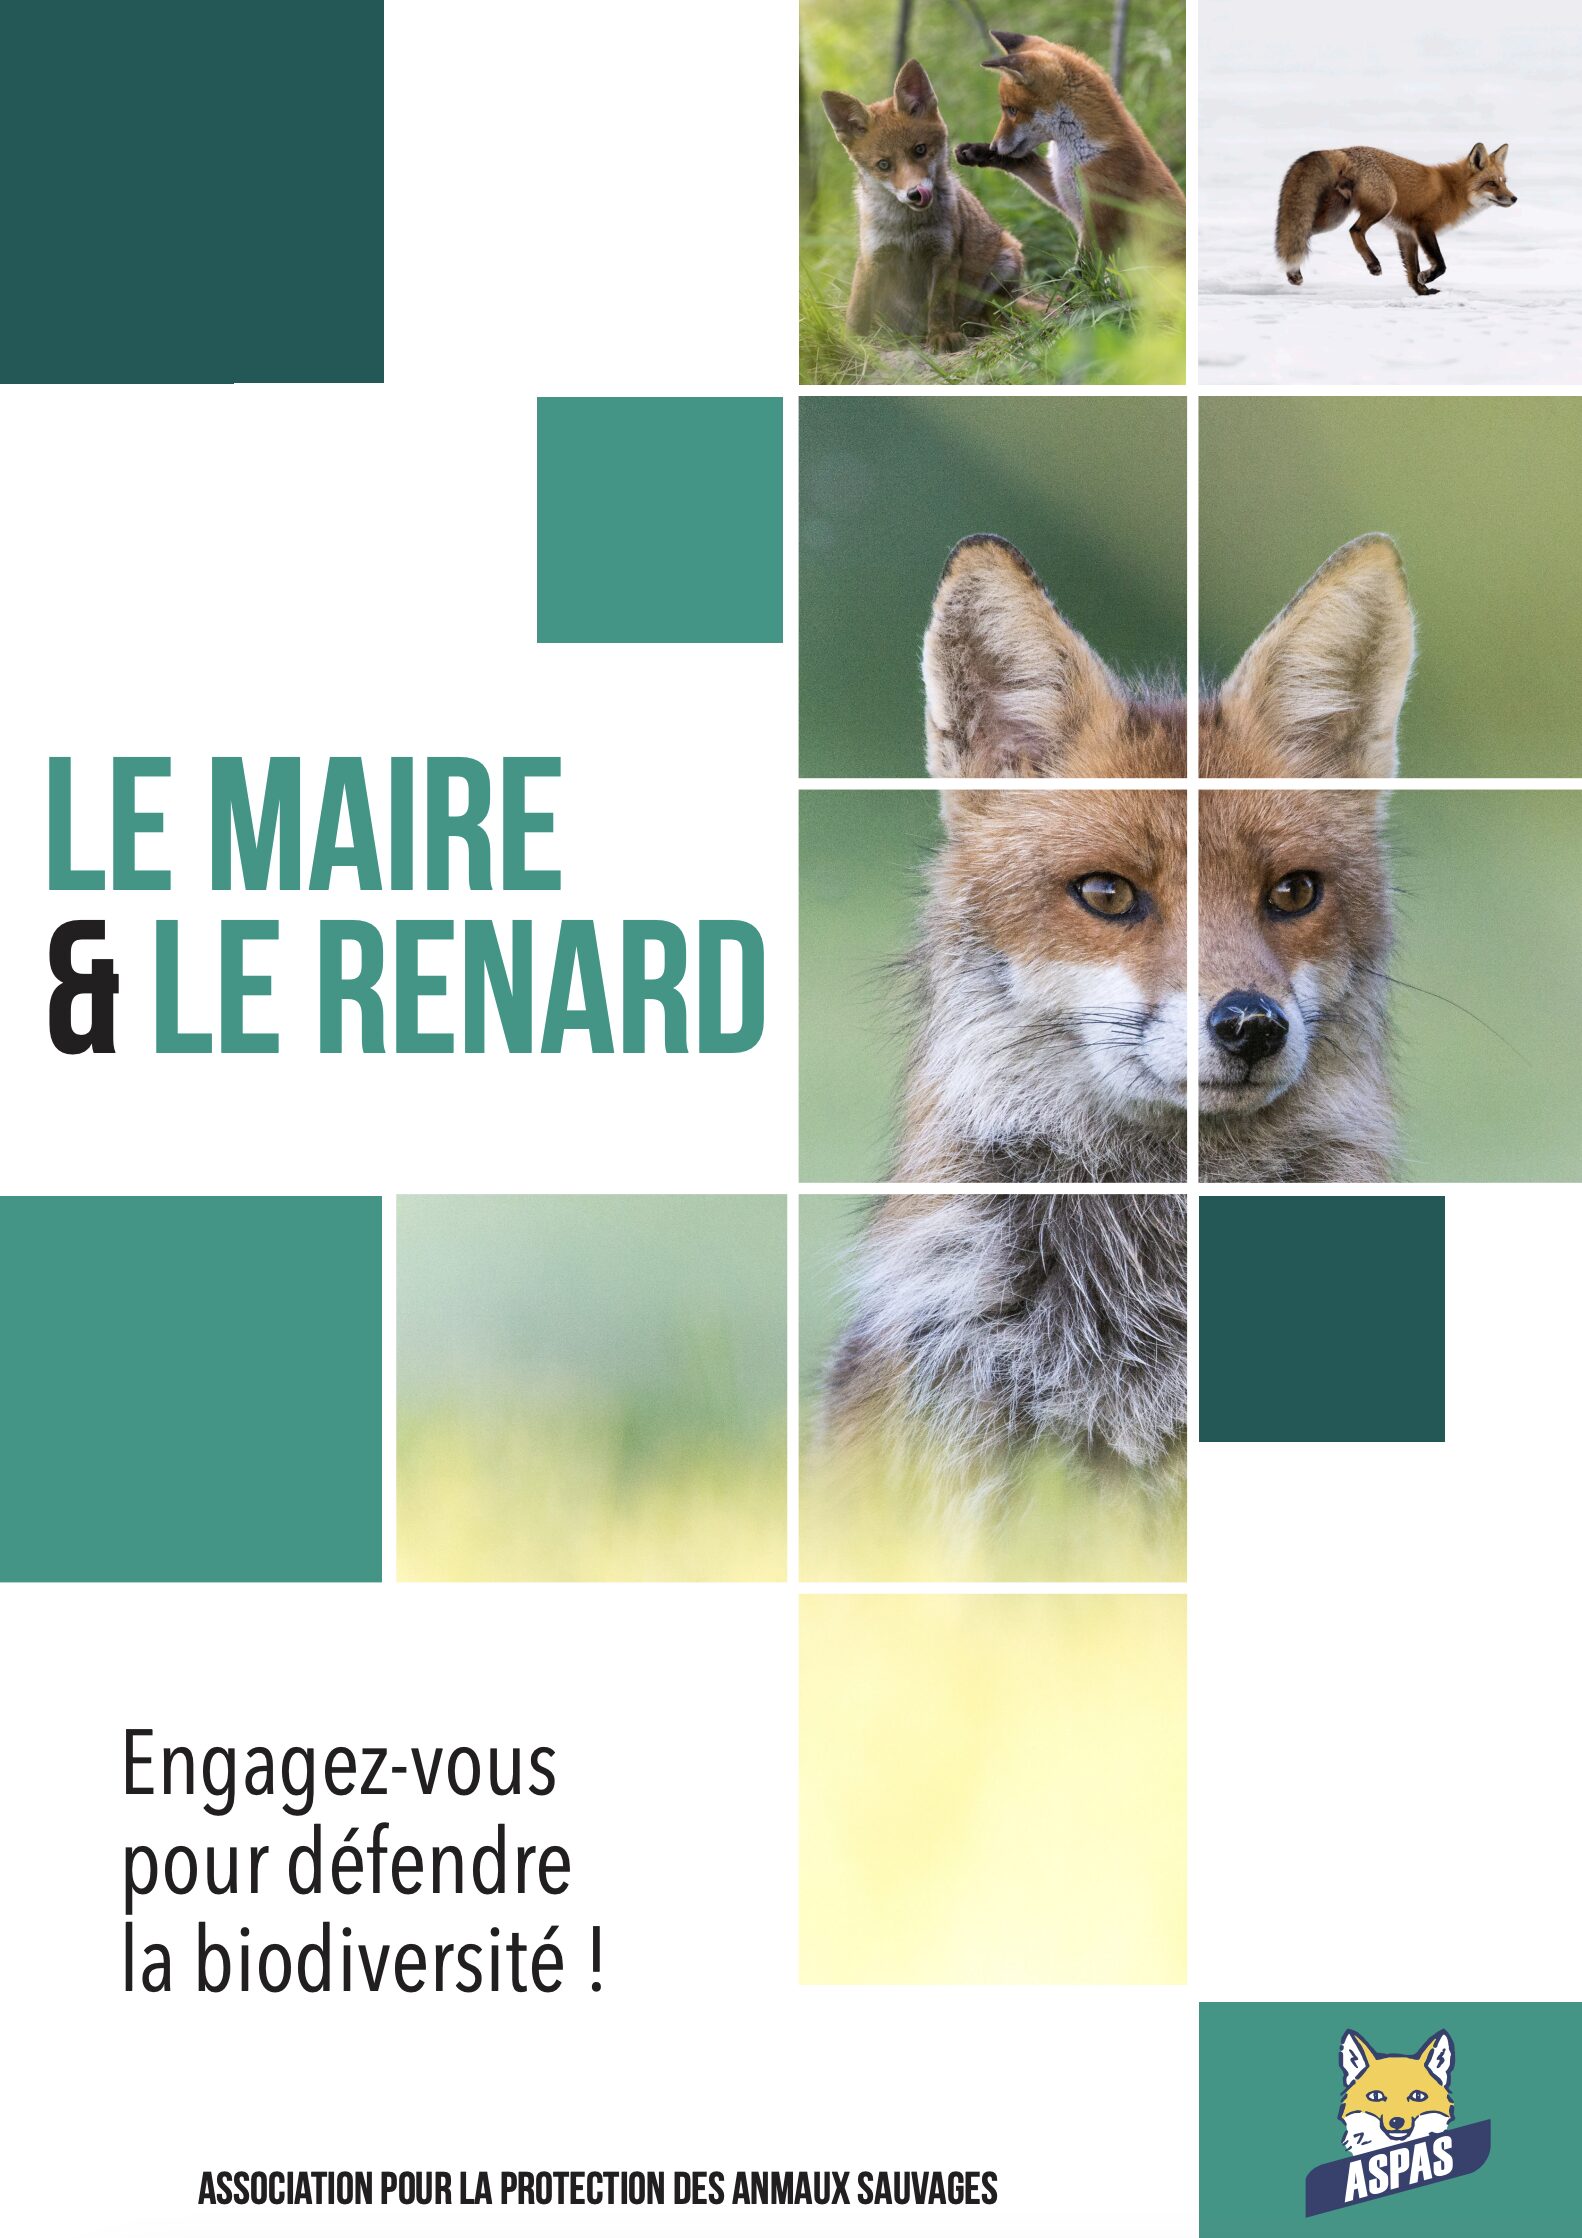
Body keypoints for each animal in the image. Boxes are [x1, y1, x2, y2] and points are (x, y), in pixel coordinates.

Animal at [821, 60, 1032, 348]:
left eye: (919, 150)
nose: (915, 193)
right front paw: (852, 341)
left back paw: (977, 324)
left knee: (998, 310)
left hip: (1008, 260)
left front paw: (941, 335)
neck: (907, 228)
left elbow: (940, 304)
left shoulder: (944, 254)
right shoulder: (872, 256)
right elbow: (858, 307)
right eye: (884, 165)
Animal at [955, 30, 1185, 260]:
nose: (994, 147)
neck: (1076, 153)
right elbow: (1026, 162)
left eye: (1012, 110)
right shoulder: (1064, 193)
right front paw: (977, 152)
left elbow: (1083, 269)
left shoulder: (1098, 223)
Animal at [1277, 141, 1517, 295]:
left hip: (1332, 219)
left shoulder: (1406, 233)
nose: (1514, 198)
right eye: (1491, 184)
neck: (1452, 189)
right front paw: (1427, 278)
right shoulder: (1423, 226)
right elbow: (1440, 264)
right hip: (1384, 203)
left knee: (1299, 235)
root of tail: (1342, 150)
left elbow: (1412, 269)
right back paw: (1373, 264)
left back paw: (1293, 273)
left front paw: (1422, 291)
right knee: (1354, 231)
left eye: (1504, 181)